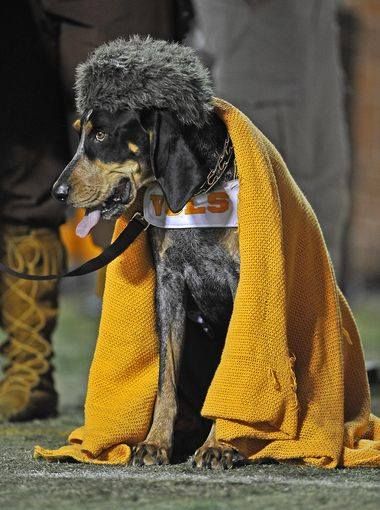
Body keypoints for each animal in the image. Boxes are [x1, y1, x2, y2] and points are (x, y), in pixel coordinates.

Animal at [52, 38, 243, 470]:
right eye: (80, 133)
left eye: (101, 135)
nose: (57, 192)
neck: (200, 193)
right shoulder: (169, 286)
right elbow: (164, 379)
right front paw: (155, 443)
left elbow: (228, 376)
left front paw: (219, 446)